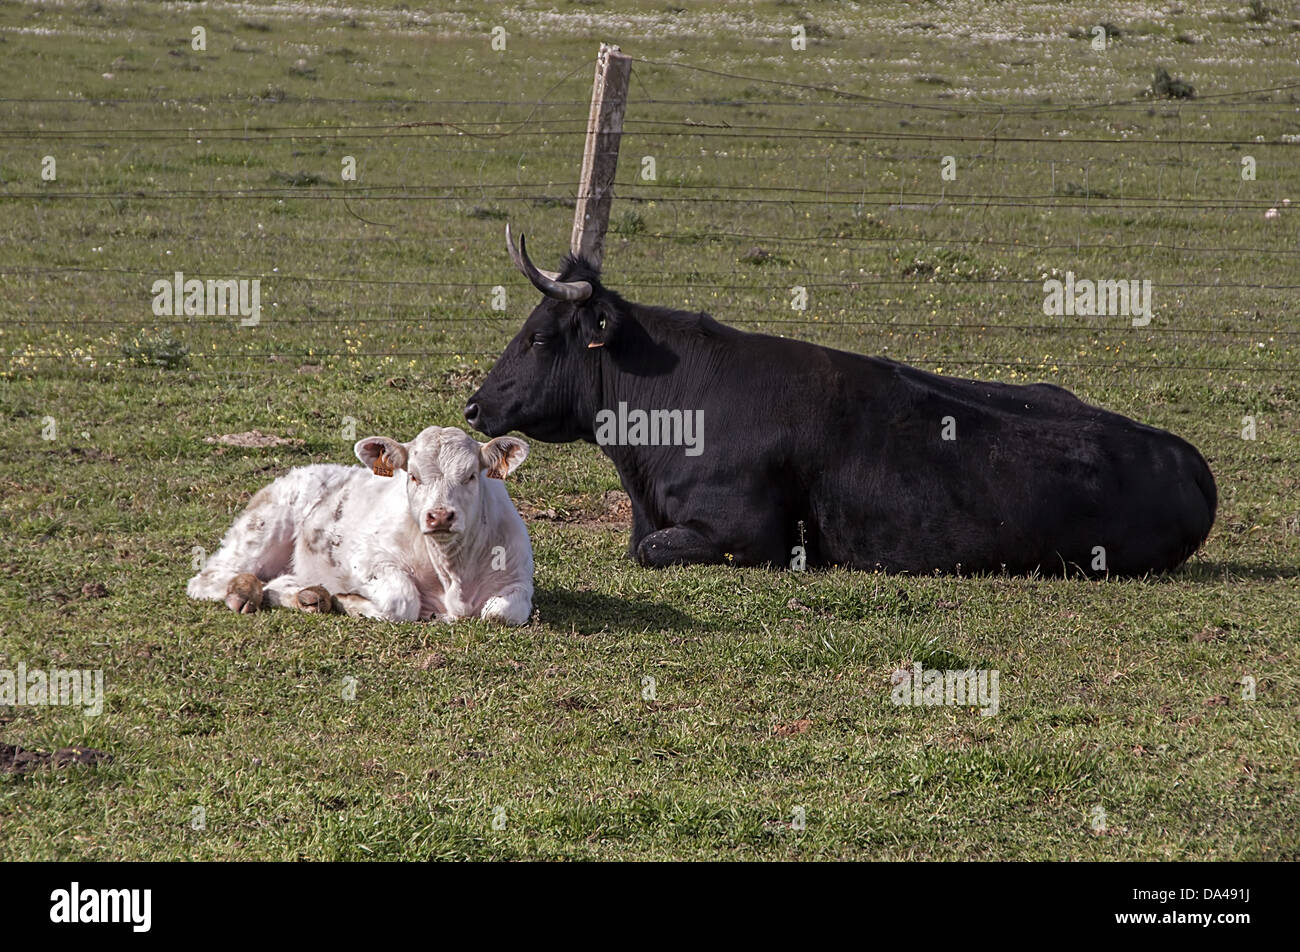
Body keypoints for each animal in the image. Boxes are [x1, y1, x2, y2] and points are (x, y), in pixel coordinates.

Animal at [184, 426, 533, 624]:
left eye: (471, 476)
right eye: (413, 476)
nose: (440, 516)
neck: (452, 574)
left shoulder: (519, 579)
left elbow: (500, 613)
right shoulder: (365, 560)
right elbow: (401, 600)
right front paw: (349, 602)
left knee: (277, 582)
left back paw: (307, 596)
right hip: (263, 527)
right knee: (208, 578)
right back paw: (243, 592)